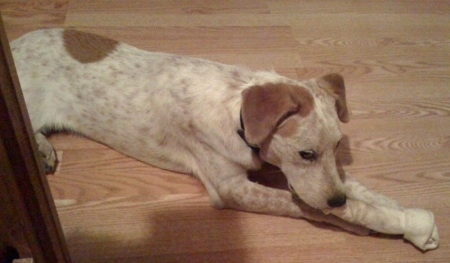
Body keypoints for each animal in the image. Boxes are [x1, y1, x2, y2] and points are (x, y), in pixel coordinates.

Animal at [11, 29, 440, 252]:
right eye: (306, 153)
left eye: (338, 147)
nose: (335, 199)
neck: (237, 112)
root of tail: (14, 43)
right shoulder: (232, 188)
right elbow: (309, 206)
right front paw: (379, 223)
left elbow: (360, 190)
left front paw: (405, 214)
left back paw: (43, 150)